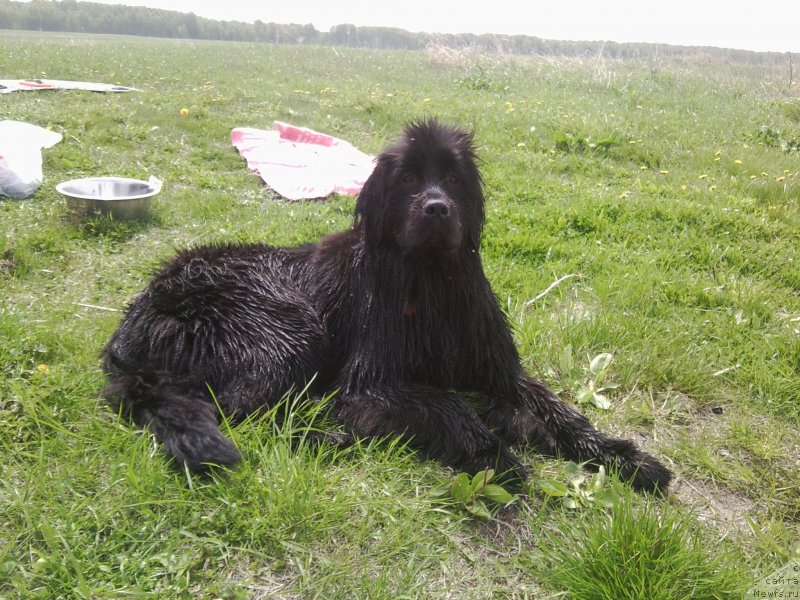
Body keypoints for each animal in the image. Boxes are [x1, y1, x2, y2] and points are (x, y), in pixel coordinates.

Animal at [103, 118, 672, 492]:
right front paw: (494, 452)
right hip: (285, 328)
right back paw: (331, 436)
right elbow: (443, 402)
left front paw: (624, 456)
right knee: (248, 412)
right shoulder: (367, 386)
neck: (431, 282)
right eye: (407, 179)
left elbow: (559, 410)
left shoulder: (498, 370)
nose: (437, 208)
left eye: (454, 178)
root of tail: (137, 316)